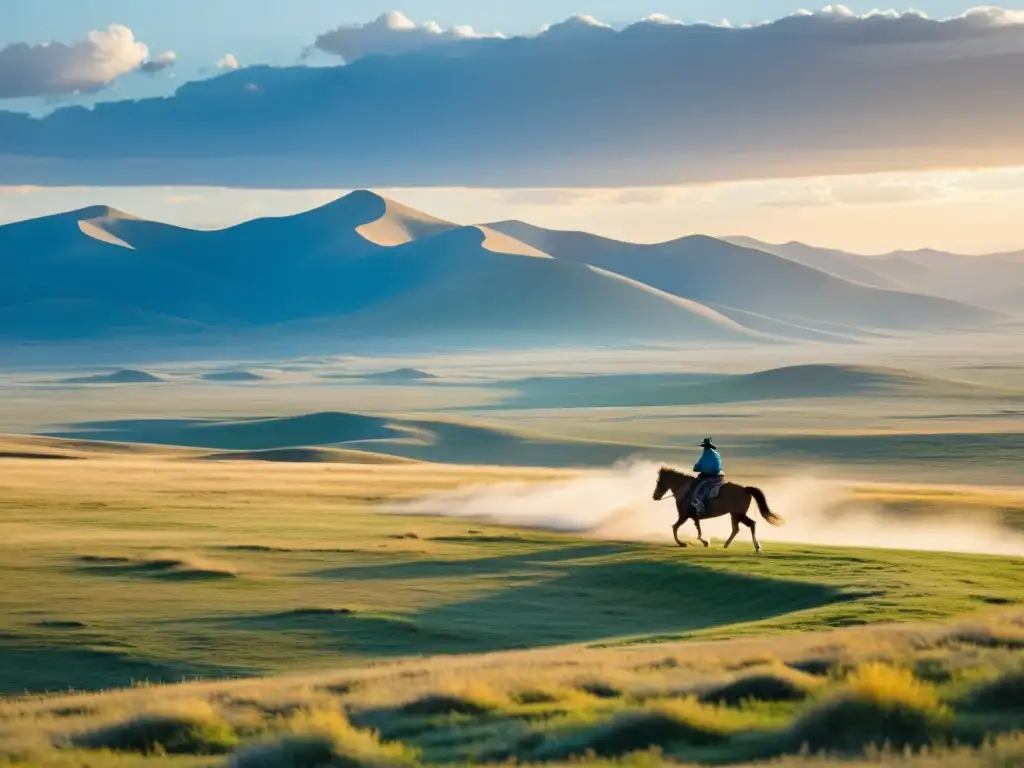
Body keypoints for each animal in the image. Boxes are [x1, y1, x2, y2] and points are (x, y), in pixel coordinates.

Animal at [651, 466, 786, 548]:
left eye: (658, 481)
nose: (654, 496)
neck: (684, 489)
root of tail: (745, 489)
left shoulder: (684, 516)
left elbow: (675, 528)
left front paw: (682, 543)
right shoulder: (694, 517)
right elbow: (698, 529)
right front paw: (704, 542)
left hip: (737, 514)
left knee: (748, 525)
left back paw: (755, 546)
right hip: (736, 514)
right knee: (739, 528)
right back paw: (728, 544)